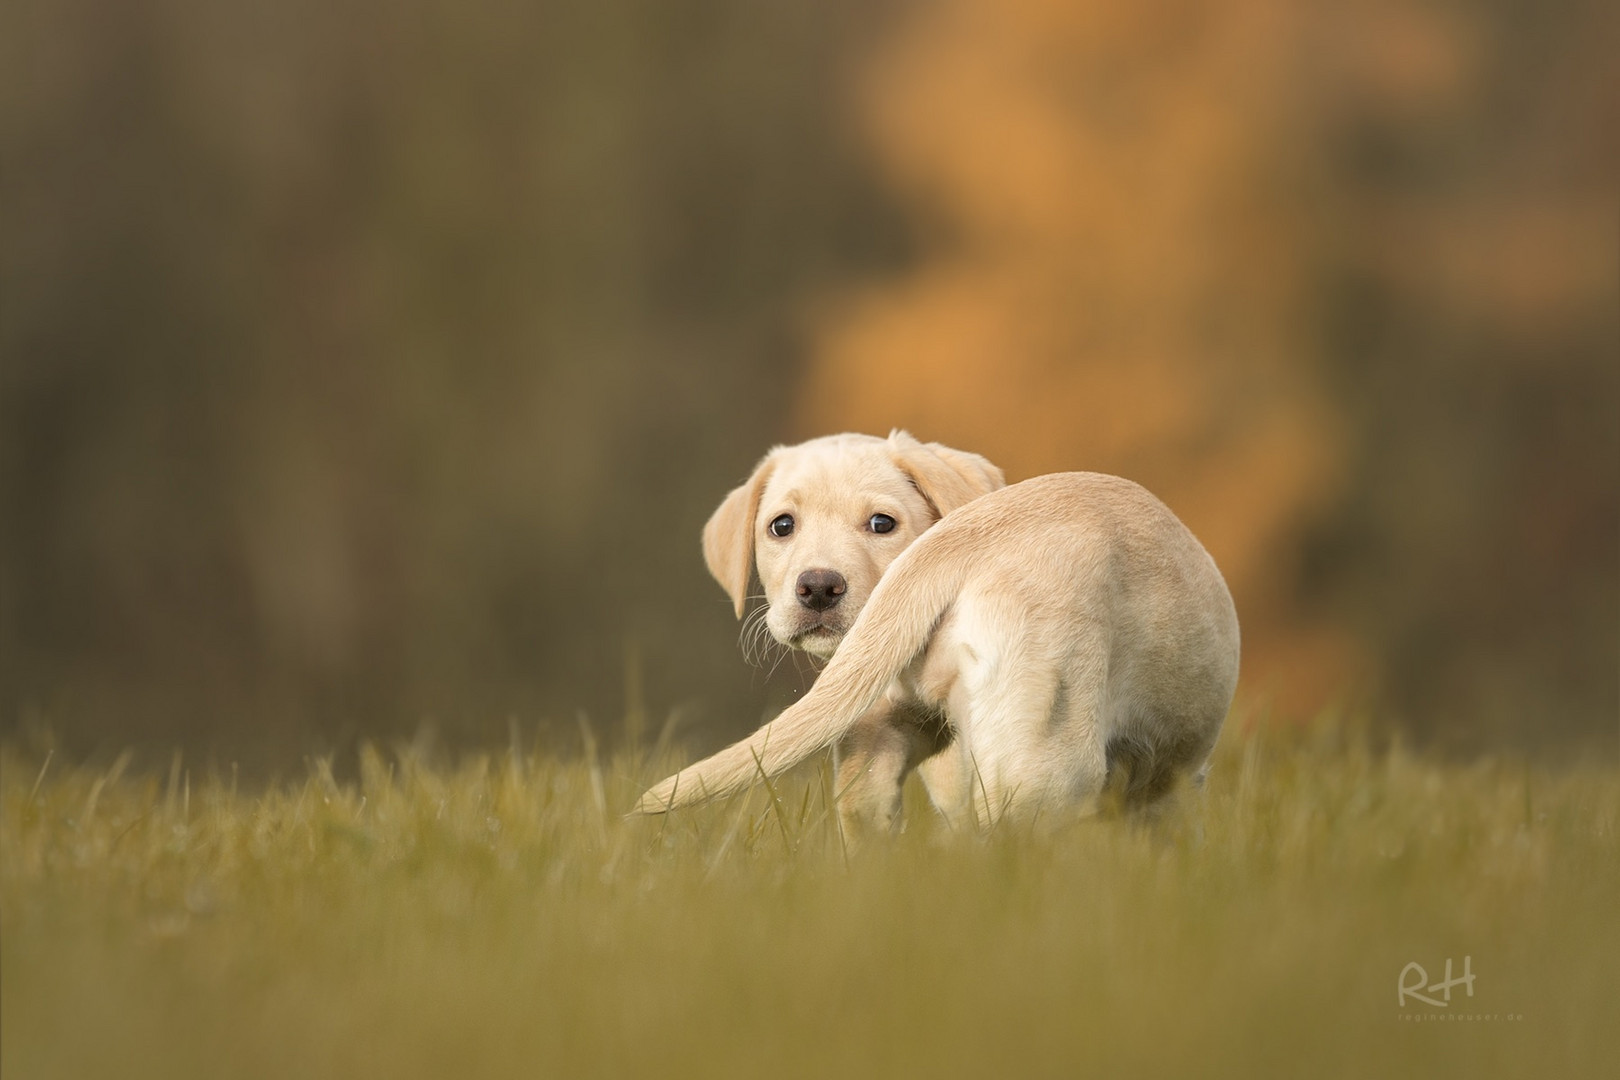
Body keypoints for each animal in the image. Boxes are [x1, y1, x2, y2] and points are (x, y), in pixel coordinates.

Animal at [635, 433, 1237, 835]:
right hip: (1048, 758)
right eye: (781, 526)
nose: (819, 587)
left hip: (876, 738)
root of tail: (958, 542)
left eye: (882, 523)